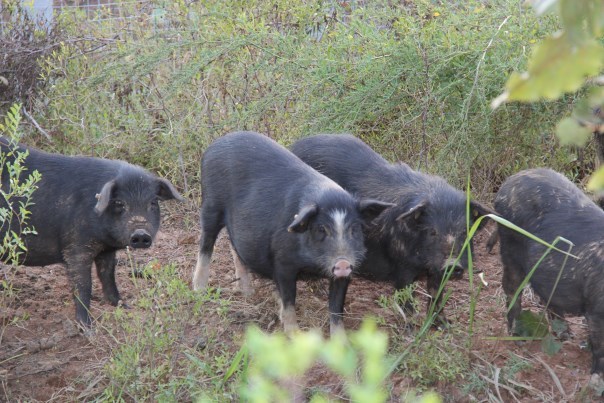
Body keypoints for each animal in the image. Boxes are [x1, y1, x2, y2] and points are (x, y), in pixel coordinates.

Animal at [0, 137, 184, 326]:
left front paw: (124, 306)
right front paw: (87, 326)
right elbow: (83, 285)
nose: (140, 234)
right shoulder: (76, 247)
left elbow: (108, 276)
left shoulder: (106, 250)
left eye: (153, 202)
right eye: (119, 203)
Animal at [192, 132, 392, 334]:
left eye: (355, 228)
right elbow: (289, 300)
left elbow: (336, 310)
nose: (342, 262)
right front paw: (294, 334)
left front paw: (341, 341)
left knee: (234, 247)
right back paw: (199, 290)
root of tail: (216, 143)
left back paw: (247, 292)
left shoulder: (345, 273)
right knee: (205, 243)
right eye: (321, 229)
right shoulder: (282, 263)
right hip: (210, 205)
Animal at [496, 168, 604, 392]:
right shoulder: (596, 309)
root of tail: (510, 180)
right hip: (509, 247)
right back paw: (518, 338)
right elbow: (600, 347)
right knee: (512, 288)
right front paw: (596, 381)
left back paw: (566, 335)